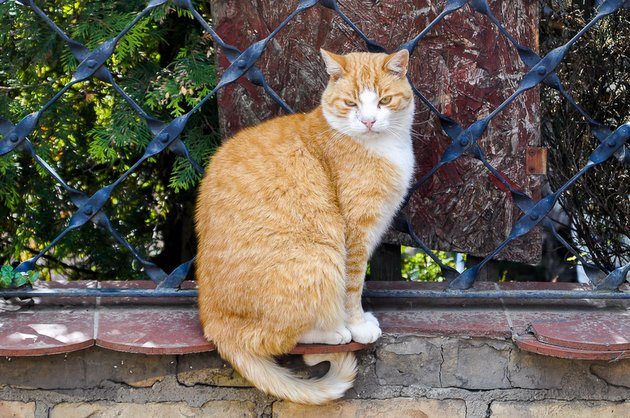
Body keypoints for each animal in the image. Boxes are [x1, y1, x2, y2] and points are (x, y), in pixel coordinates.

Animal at [195, 49, 418, 404]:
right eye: (351, 103)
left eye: (384, 100)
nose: (368, 121)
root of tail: (214, 324)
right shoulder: (355, 233)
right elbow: (353, 287)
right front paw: (357, 323)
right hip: (320, 257)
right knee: (276, 339)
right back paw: (334, 331)